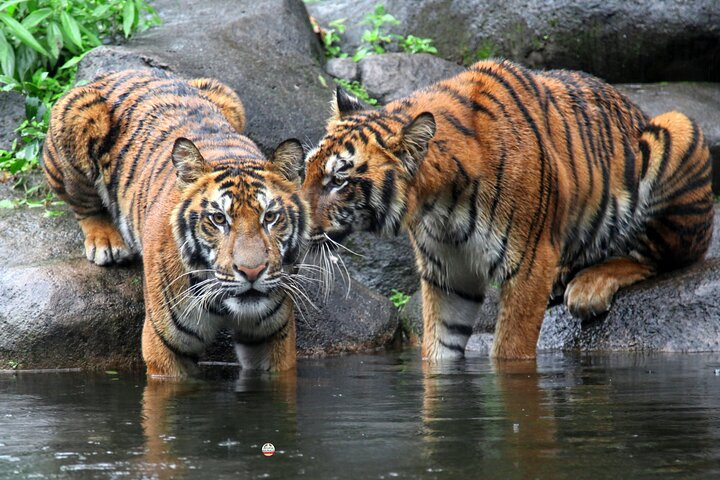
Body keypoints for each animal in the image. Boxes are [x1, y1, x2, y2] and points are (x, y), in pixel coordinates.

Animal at [41, 69, 309, 377]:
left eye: (270, 217)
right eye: (219, 219)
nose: (251, 272)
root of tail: (119, 72)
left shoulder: (273, 337)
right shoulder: (165, 345)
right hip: (75, 116)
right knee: (83, 204)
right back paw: (106, 242)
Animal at [302, 59, 713, 361]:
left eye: (338, 180)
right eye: (307, 170)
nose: (296, 226)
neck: (439, 204)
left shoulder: (529, 263)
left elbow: (510, 350)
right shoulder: (448, 275)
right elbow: (439, 349)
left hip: (676, 128)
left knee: (663, 257)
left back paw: (588, 287)